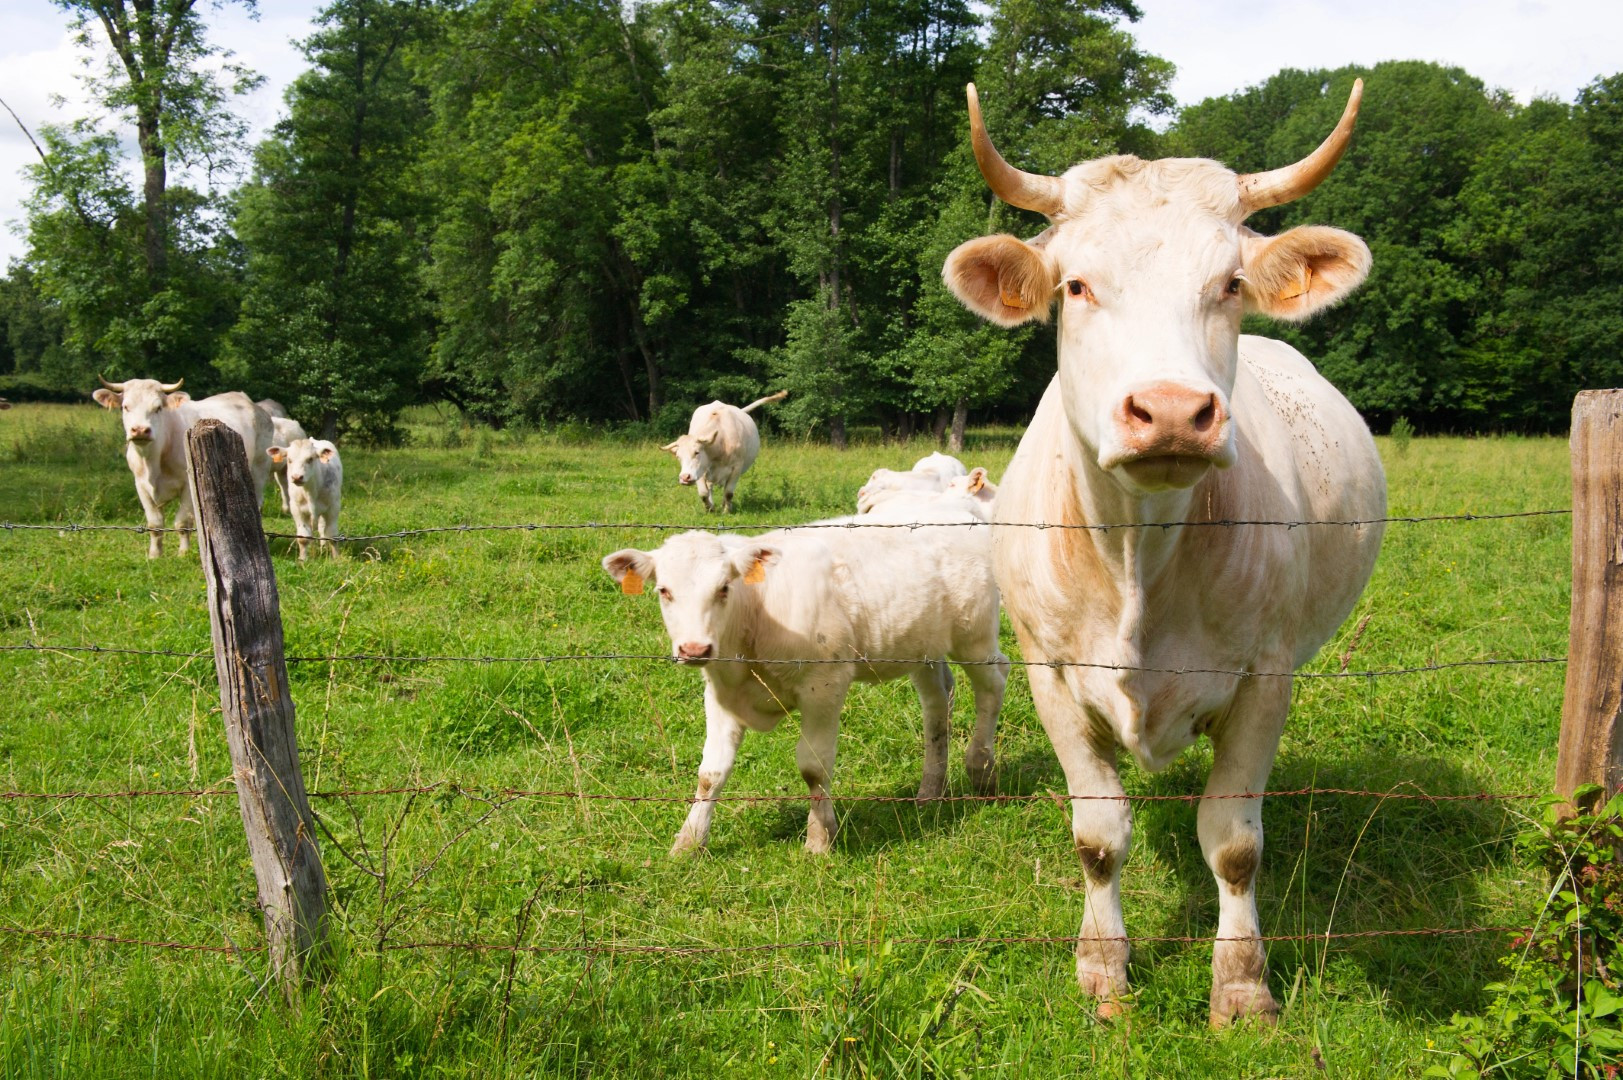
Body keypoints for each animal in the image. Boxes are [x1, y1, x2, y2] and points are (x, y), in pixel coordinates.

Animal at [91, 377, 275, 558]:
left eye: (158, 408)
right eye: (125, 407)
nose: (141, 430)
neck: (153, 461)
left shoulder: (188, 486)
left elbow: (182, 522)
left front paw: (183, 553)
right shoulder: (141, 486)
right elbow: (155, 524)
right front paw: (154, 555)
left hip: (259, 468)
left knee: (258, 501)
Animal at [602, 503, 1010, 855]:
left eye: (723, 588)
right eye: (663, 590)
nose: (694, 648)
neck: (755, 613)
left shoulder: (824, 684)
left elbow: (814, 767)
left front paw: (819, 840)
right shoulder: (720, 693)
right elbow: (711, 772)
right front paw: (688, 842)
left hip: (975, 637)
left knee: (994, 682)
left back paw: (981, 770)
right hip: (922, 645)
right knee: (938, 699)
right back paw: (930, 790)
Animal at [939, 80, 1385, 1027]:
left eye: (1229, 283)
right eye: (1075, 284)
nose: (1175, 411)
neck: (1137, 556)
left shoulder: (1264, 676)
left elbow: (1232, 842)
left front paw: (1242, 989)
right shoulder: (1049, 674)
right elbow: (1098, 835)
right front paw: (1103, 973)